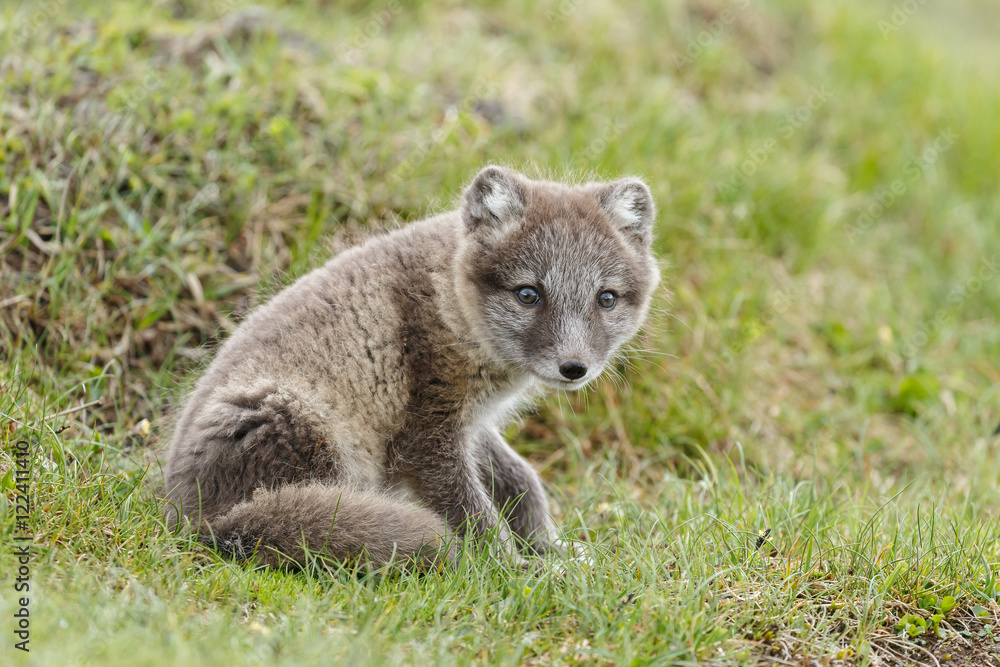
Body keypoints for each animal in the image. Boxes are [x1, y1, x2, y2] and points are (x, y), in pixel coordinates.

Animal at [162, 165, 660, 570]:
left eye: (606, 298)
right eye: (528, 294)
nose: (574, 367)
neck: (446, 297)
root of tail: (188, 518)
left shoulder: (471, 423)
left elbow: (522, 479)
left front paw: (550, 548)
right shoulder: (426, 436)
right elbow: (472, 513)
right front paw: (516, 570)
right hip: (296, 425)